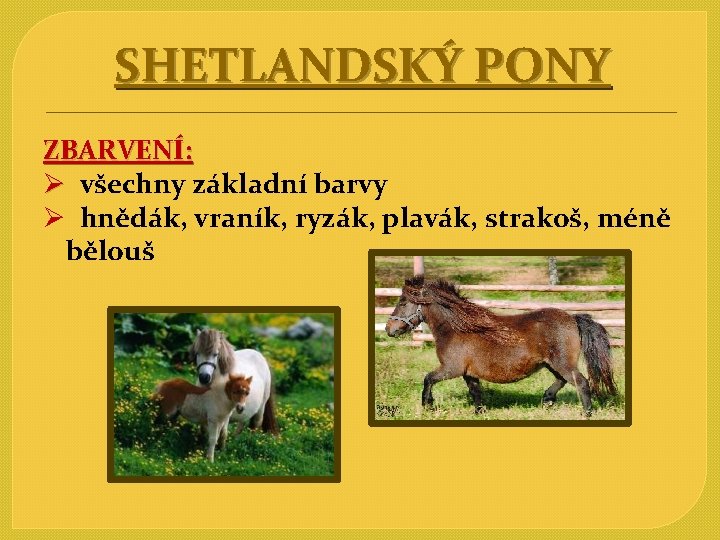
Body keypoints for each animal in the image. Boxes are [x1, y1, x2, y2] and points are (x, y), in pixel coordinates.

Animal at [385, 277, 617, 417]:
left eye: (403, 302)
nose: (389, 329)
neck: (456, 328)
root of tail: (573, 318)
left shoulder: (451, 369)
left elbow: (428, 379)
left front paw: (428, 405)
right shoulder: (468, 373)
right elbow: (475, 392)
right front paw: (479, 412)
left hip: (562, 363)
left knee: (581, 383)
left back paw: (586, 413)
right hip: (552, 363)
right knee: (562, 380)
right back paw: (547, 400)